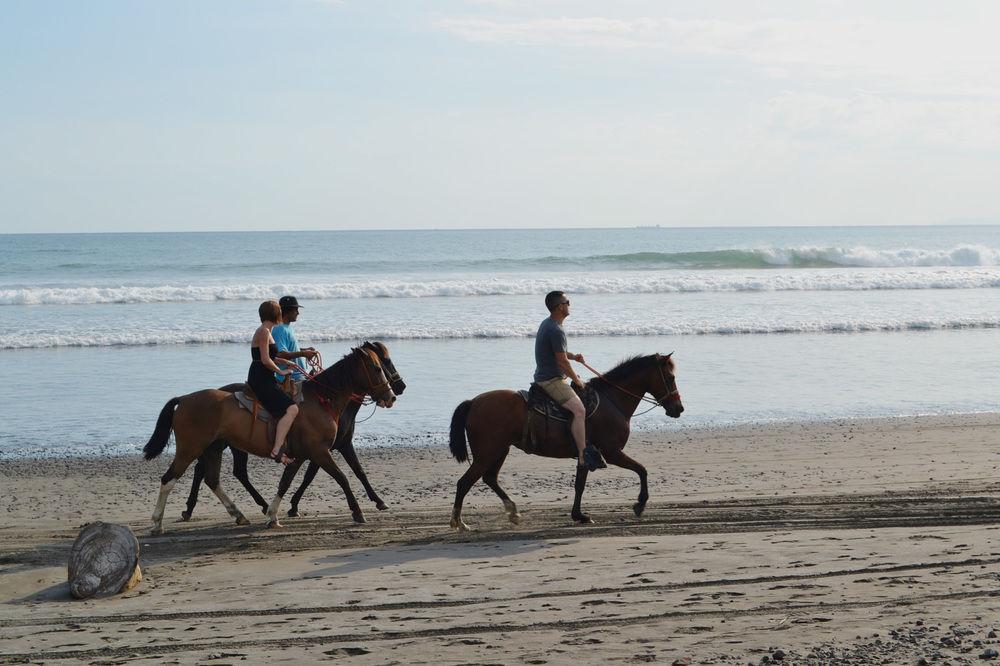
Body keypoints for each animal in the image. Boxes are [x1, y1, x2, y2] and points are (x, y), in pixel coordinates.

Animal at [145, 344, 394, 532]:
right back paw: (157, 522)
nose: (391, 395)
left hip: (213, 448)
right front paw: (358, 512)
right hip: (190, 449)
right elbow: (342, 477)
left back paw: (238, 514)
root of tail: (184, 398)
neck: (321, 400)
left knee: (212, 480)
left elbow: (286, 482)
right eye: (377, 367)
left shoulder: (301, 455)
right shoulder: (320, 452)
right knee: (168, 479)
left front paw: (273, 515)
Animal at [450, 352, 684, 528]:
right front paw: (640, 503)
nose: (679, 408)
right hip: (487, 454)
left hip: (500, 450)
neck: (611, 401)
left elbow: (579, 485)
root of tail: (473, 402)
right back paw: (458, 522)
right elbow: (642, 470)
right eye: (670, 378)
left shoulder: (586, 454)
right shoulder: (612, 452)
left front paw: (578, 515)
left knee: (489, 478)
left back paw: (512, 511)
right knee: (464, 483)